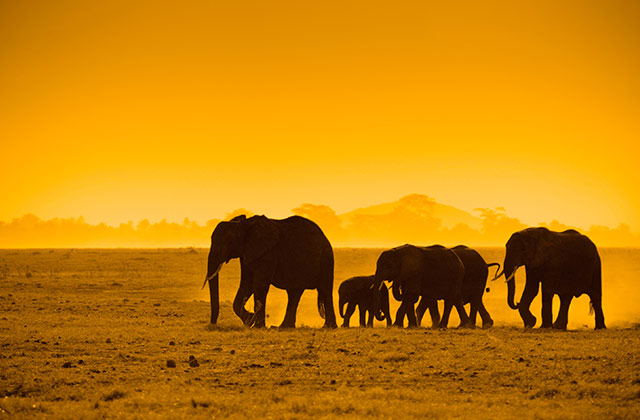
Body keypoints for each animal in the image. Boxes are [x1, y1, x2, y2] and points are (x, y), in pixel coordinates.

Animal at [202, 214, 337, 328]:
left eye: (229, 241)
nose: (213, 324)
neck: (243, 225)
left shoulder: (267, 253)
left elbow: (259, 285)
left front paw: (256, 326)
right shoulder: (247, 253)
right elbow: (247, 284)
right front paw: (249, 320)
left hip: (326, 259)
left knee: (324, 289)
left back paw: (328, 327)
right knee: (294, 293)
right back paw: (283, 327)